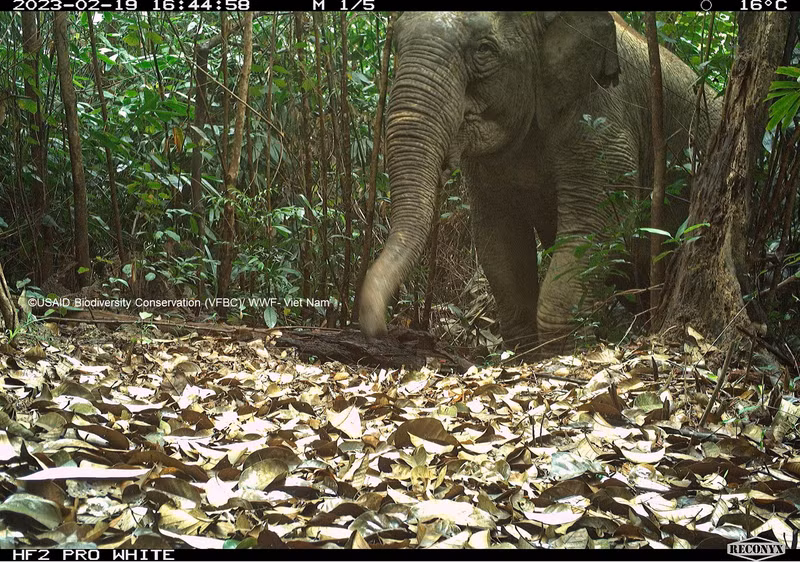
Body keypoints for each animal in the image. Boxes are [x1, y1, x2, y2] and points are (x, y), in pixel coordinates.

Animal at [359, 11, 722, 353]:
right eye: (396, 42)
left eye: (485, 49)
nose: (380, 329)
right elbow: (498, 238)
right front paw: (526, 354)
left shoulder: (603, 117)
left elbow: (593, 227)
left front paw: (562, 353)